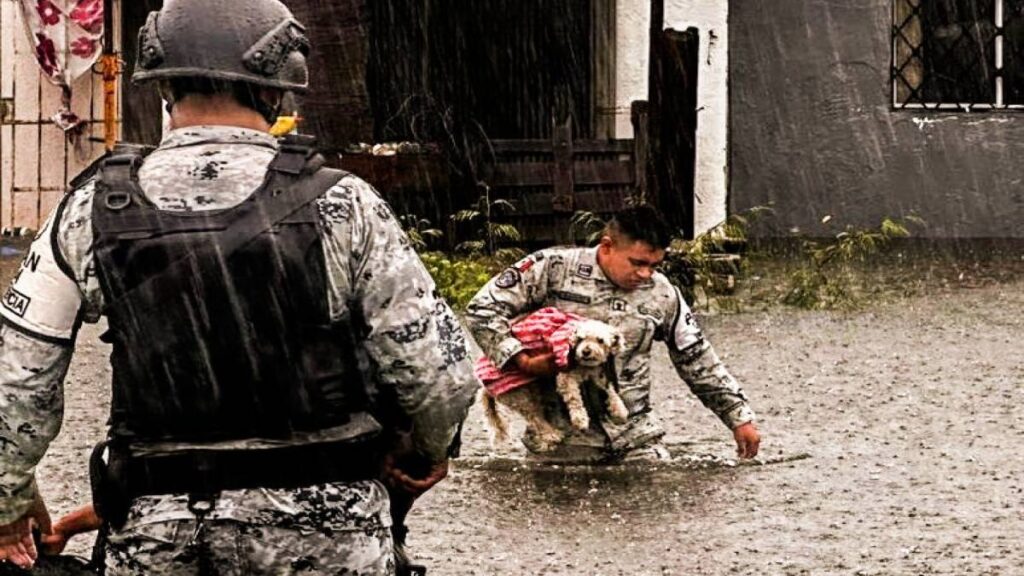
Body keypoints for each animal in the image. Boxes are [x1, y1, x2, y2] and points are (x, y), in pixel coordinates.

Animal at [483, 317, 626, 448]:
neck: (584, 366)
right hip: (520, 395)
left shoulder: (597, 373)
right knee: (535, 418)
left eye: (600, 340)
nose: (585, 352)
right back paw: (551, 435)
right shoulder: (565, 376)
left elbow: (609, 389)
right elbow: (574, 398)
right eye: (580, 339)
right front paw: (580, 419)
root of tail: (486, 388)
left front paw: (619, 408)